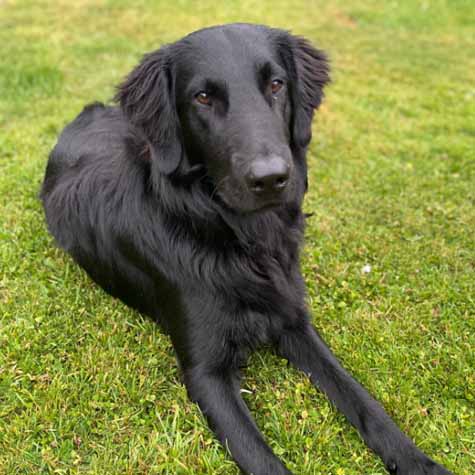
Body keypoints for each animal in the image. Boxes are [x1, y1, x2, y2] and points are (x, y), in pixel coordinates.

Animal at [40, 23, 450, 475]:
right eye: (203, 97)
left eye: (276, 84)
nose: (270, 178)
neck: (241, 237)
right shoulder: (205, 373)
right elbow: (262, 458)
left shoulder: (294, 321)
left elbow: (360, 398)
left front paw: (418, 462)